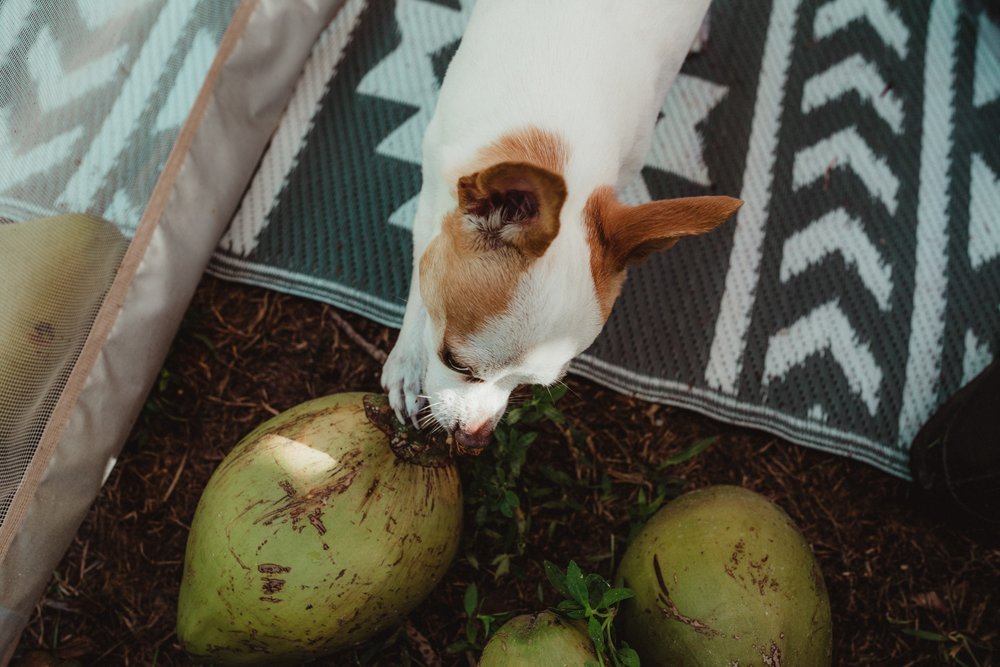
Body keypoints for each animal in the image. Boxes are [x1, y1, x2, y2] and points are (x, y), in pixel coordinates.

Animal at [382, 0, 744, 454]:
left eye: (530, 384)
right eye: (454, 361)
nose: (474, 438)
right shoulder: (435, 184)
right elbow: (422, 274)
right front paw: (409, 361)